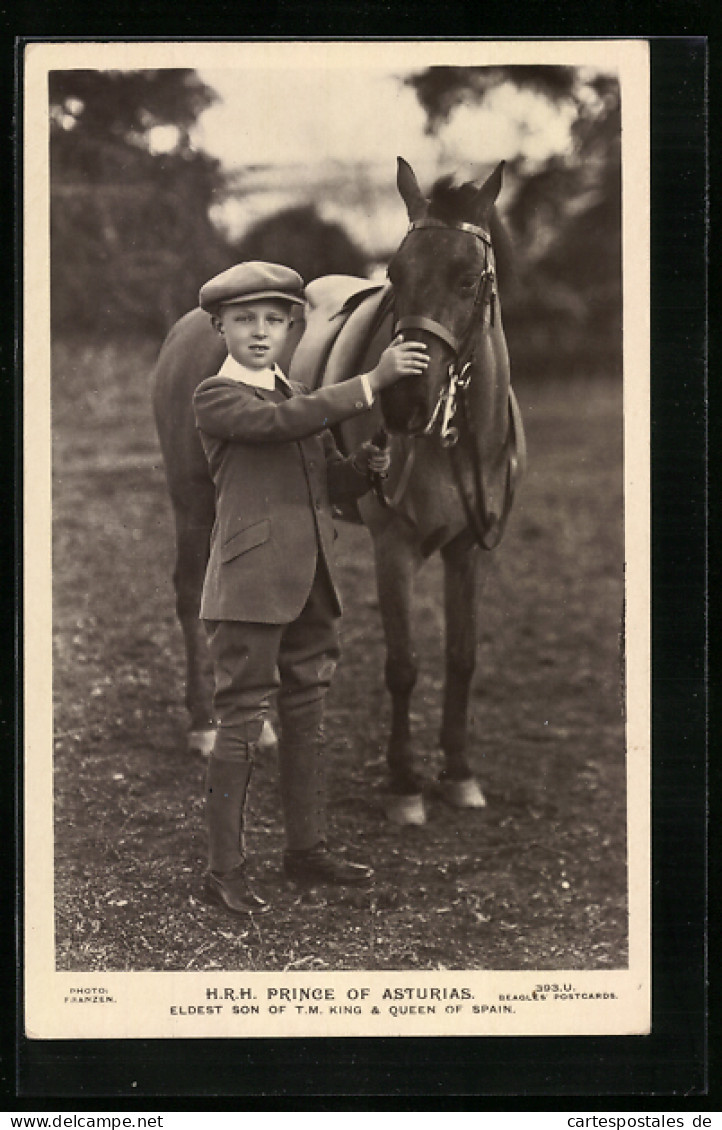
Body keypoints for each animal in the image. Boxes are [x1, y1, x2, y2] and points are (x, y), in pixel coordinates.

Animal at [152, 157, 524, 822]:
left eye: (467, 280)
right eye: (395, 275)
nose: (404, 403)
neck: (453, 438)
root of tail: (191, 320)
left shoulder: (469, 551)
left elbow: (462, 657)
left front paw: (458, 773)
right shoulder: (392, 548)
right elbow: (403, 665)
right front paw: (404, 785)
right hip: (192, 501)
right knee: (191, 593)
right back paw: (202, 726)